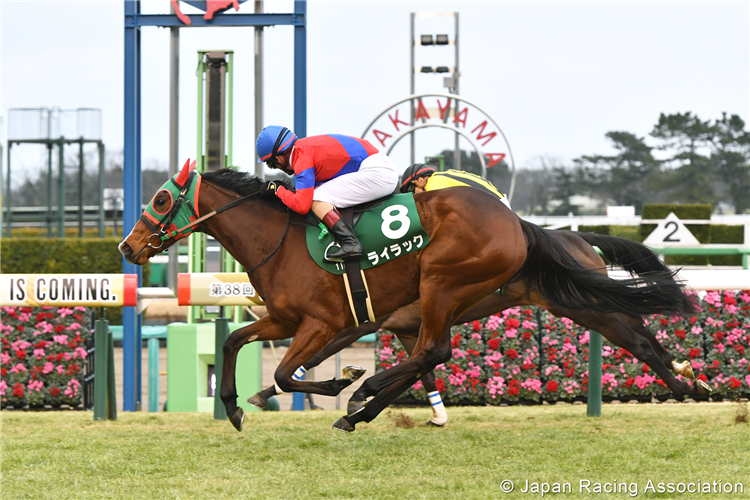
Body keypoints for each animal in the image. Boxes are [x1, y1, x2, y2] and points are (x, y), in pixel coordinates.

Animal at [251, 232, 712, 424]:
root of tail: (575, 236)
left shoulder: (356, 323)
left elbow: (315, 355)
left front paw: (267, 393)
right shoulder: (408, 325)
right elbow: (421, 369)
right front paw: (432, 414)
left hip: (584, 305)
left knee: (637, 338)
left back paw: (683, 382)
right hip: (588, 304)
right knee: (638, 330)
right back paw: (687, 375)